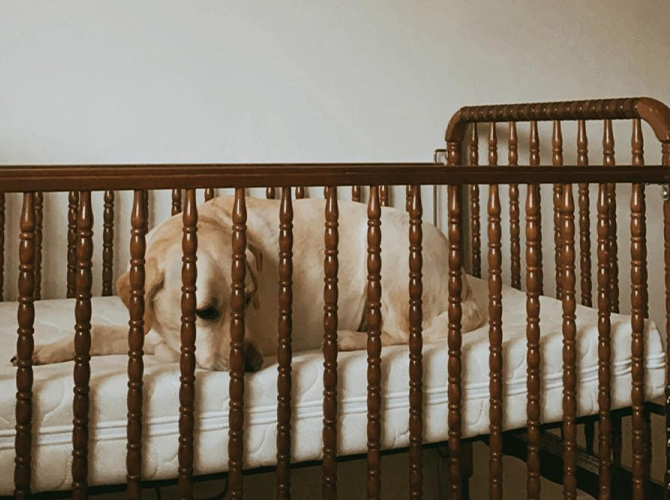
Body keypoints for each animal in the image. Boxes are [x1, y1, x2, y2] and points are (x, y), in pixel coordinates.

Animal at [21, 195, 486, 372]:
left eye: (248, 300)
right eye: (206, 311)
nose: (253, 361)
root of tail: (463, 276)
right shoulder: (143, 325)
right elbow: (96, 331)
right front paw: (45, 350)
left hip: (392, 257)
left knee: (405, 334)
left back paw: (344, 338)